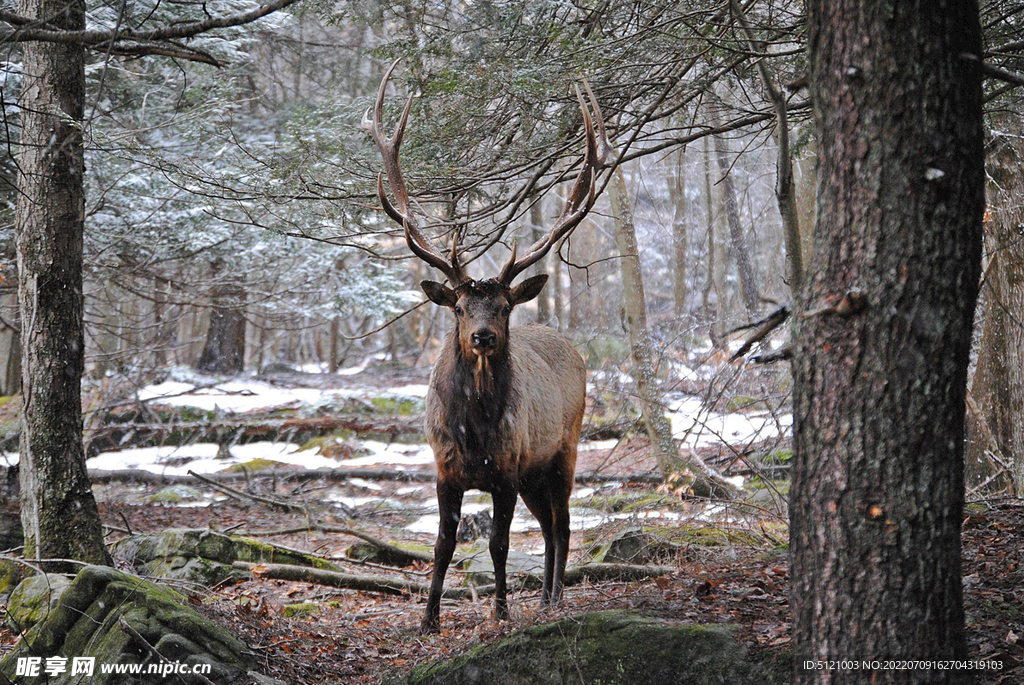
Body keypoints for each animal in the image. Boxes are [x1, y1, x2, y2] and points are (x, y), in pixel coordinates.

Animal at [364, 60, 606, 630]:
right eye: (458, 306)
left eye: (503, 305)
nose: (482, 335)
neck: (473, 431)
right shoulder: (444, 470)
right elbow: (442, 545)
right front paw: (428, 620)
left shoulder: (506, 470)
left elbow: (498, 545)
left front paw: (499, 613)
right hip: (535, 474)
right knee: (550, 525)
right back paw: (544, 598)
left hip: (561, 449)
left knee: (563, 523)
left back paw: (554, 598)